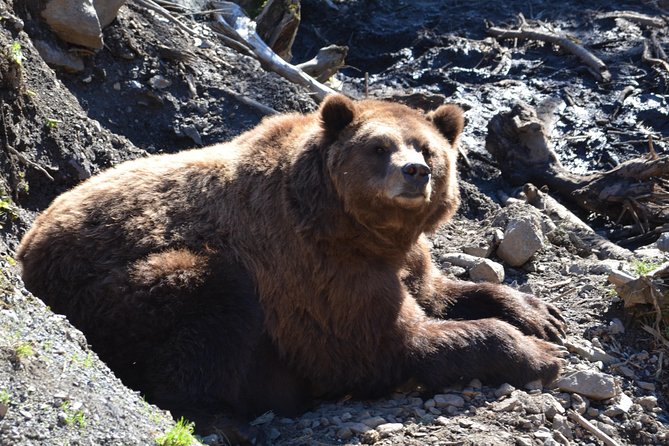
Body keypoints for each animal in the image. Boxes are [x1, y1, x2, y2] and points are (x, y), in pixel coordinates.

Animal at [18, 94, 564, 426]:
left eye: (427, 147)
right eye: (379, 146)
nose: (415, 172)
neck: (361, 230)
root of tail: (26, 242)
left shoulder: (401, 256)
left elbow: (440, 292)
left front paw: (542, 317)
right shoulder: (311, 268)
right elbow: (381, 342)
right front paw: (537, 354)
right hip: (110, 290)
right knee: (208, 302)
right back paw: (221, 418)